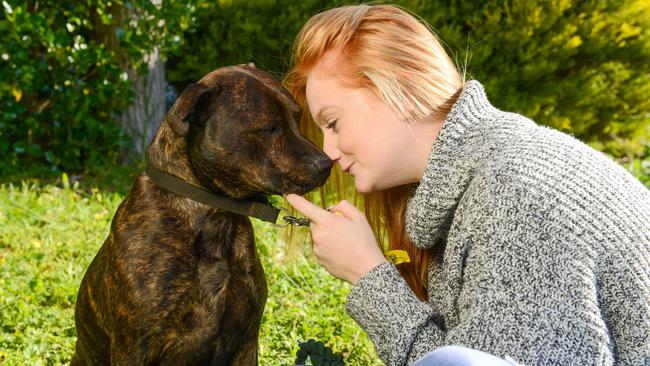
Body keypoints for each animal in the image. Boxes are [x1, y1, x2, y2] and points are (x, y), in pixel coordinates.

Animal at [72, 66, 330, 366]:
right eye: (269, 128)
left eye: (297, 118)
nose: (327, 164)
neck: (213, 217)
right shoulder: (134, 346)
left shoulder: (245, 338)